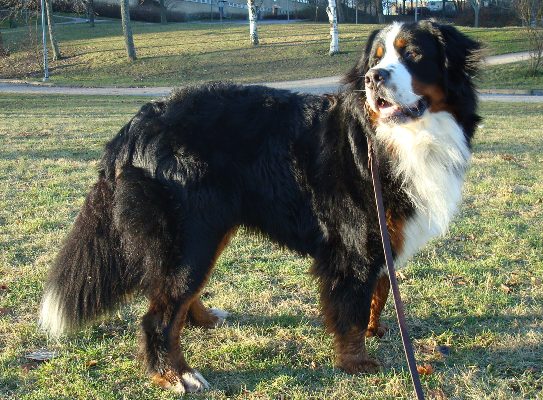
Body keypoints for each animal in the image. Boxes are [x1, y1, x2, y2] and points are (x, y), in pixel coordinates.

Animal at [40, 21, 481, 394]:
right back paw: (175, 374)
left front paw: (378, 330)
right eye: (376, 59)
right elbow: (351, 305)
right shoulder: (355, 242)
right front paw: (357, 362)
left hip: (210, 229)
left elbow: (380, 288)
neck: (398, 137)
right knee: (160, 312)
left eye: (413, 54)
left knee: (180, 296)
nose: (375, 78)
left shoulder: (384, 234)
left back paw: (203, 320)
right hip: (190, 235)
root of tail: (135, 124)